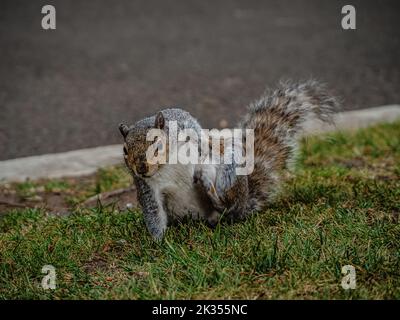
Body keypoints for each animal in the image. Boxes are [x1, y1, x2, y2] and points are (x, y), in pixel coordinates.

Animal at [119, 80, 340, 240]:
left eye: (157, 143)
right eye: (124, 150)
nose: (141, 169)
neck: (166, 165)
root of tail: (244, 206)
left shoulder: (185, 125)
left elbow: (200, 140)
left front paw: (202, 158)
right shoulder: (147, 187)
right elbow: (154, 212)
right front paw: (158, 243)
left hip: (230, 170)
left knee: (227, 204)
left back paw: (211, 190)